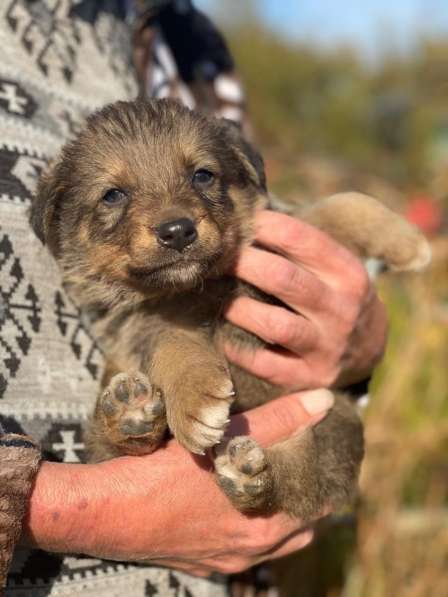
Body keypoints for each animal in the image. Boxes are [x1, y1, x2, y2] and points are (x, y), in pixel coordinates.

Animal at [30, 100, 430, 520]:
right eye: (112, 195)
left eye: (202, 175)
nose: (177, 231)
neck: (199, 285)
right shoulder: (142, 324)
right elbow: (174, 345)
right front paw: (196, 402)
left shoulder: (274, 239)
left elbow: (336, 205)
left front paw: (406, 241)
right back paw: (131, 416)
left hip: (335, 420)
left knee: (300, 479)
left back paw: (247, 476)